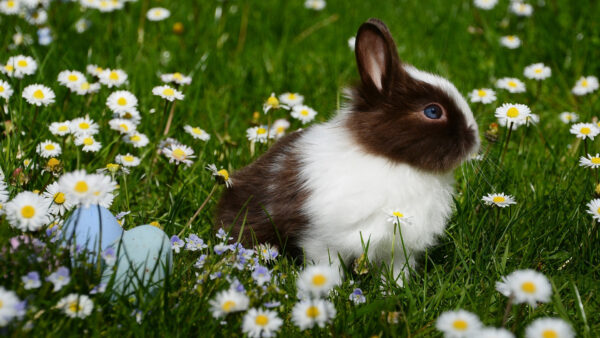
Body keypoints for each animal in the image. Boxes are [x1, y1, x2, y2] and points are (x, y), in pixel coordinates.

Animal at [218, 17, 480, 282]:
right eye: (433, 111)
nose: (474, 138)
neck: (391, 160)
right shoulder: (322, 240)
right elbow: (327, 267)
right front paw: (329, 288)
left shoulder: (399, 249)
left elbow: (396, 272)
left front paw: (393, 288)